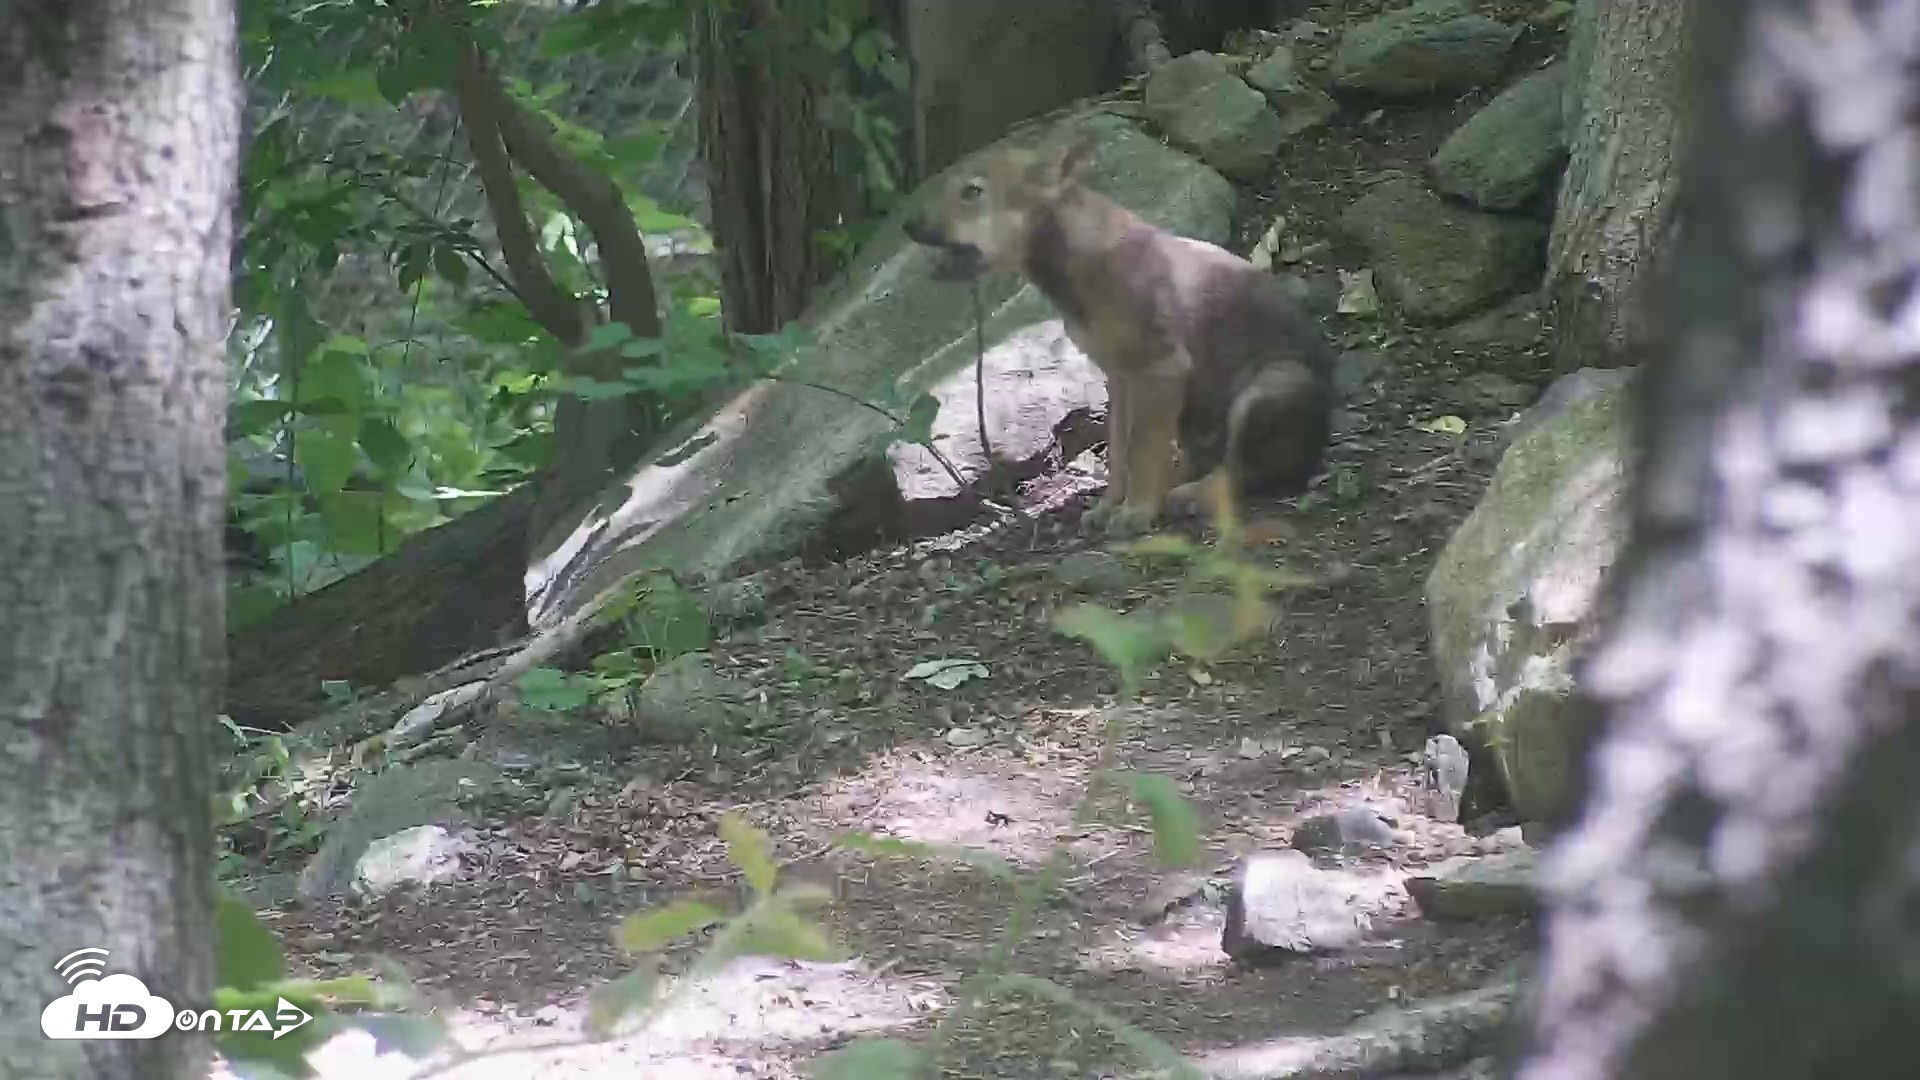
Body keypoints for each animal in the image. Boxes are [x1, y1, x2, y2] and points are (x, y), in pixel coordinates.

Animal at [903, 131, 1336, 534]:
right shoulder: (1121, 377)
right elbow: (1120, 452)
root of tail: (1318, 444)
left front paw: (1136, 513)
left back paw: (1187, 495)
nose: (908, 224)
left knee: (1237, 472)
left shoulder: (1160, 369)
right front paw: (1112, 506)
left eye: (972, 192)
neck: (1079, 266)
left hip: (1270, 386)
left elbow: (1141, 449)